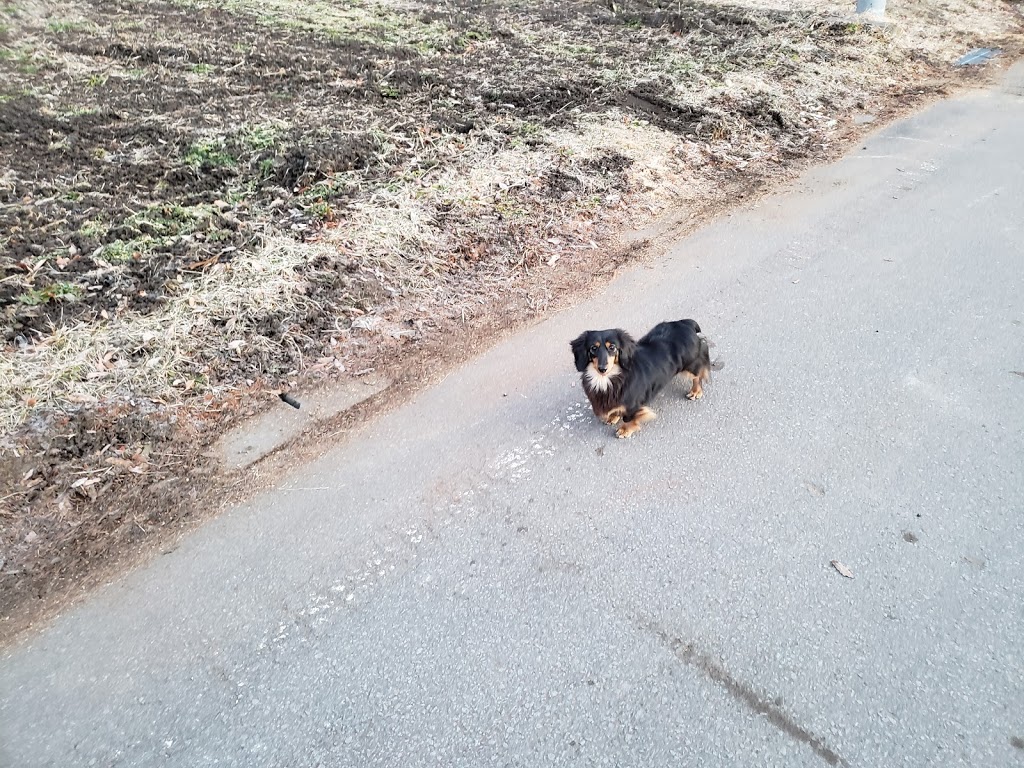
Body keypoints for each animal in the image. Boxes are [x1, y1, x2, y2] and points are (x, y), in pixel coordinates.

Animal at [570, 319, 710, 438]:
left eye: (612, 347)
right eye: (593, 348)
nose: (602, 369)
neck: (606, 380)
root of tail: (686, 323)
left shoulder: (632, 405)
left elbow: (629, 419)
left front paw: (625, 430)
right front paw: (613, 417)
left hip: (691, 364)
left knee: (699, 374)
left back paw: (695, 391)